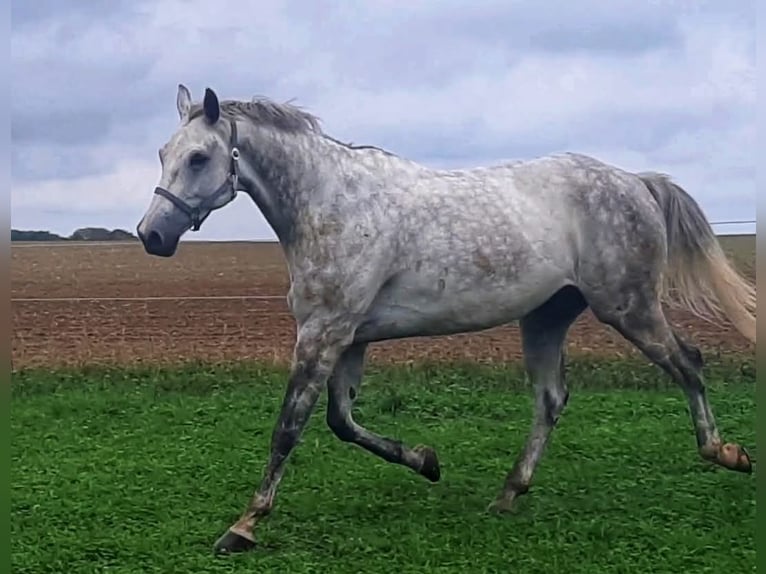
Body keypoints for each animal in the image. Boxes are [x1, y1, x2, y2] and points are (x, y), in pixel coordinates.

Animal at [136, 84, 756, 552]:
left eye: (199, 157)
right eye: (164, 152)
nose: (152, 236)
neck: (332, 205)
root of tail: (637, 182)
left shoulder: (322, 334)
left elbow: (290, 426)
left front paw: (243, 525)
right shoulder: (348, 339)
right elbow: (342, 422)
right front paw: (427, 461)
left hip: (628, 306)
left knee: (689, 363)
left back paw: (726, 453)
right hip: (547, 317)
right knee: (551, 399)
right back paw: (508, 493)